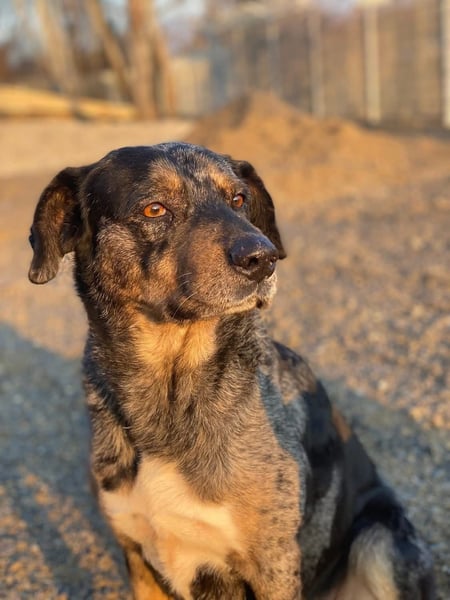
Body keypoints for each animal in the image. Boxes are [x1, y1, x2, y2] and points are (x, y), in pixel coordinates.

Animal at [29, 143, 435, 599]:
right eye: (154, 209)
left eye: (239, 199)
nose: (263, 258)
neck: (172, 391)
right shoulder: (135, 551)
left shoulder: (274, 564)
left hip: (379, 540)